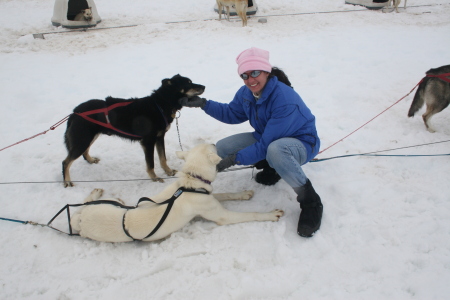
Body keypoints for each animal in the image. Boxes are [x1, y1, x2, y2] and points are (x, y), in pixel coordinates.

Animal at [62, 74, 206, 188]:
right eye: (188, 83)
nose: (204, 86)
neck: (160, 104)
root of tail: (74, 112)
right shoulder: (148, 142)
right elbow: (151, 164)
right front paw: (154, 178)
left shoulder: (160, 138)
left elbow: (163, 158)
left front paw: (168, 171)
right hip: (83, 140)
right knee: (66, 162)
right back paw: (67, 181)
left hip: (89, 137)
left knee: (84, 152)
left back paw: (90, 160)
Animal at [68, 144, 284, 244]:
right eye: (211, 146)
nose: (215, 143)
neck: (190, 181)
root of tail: (80, 220)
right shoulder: (222, 215)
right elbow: (250, 214)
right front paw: (271, 214)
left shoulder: (209, 197)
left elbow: (227, 193)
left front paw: (244, 193)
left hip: (108, 202)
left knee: (88, 201)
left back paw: (95, 191)